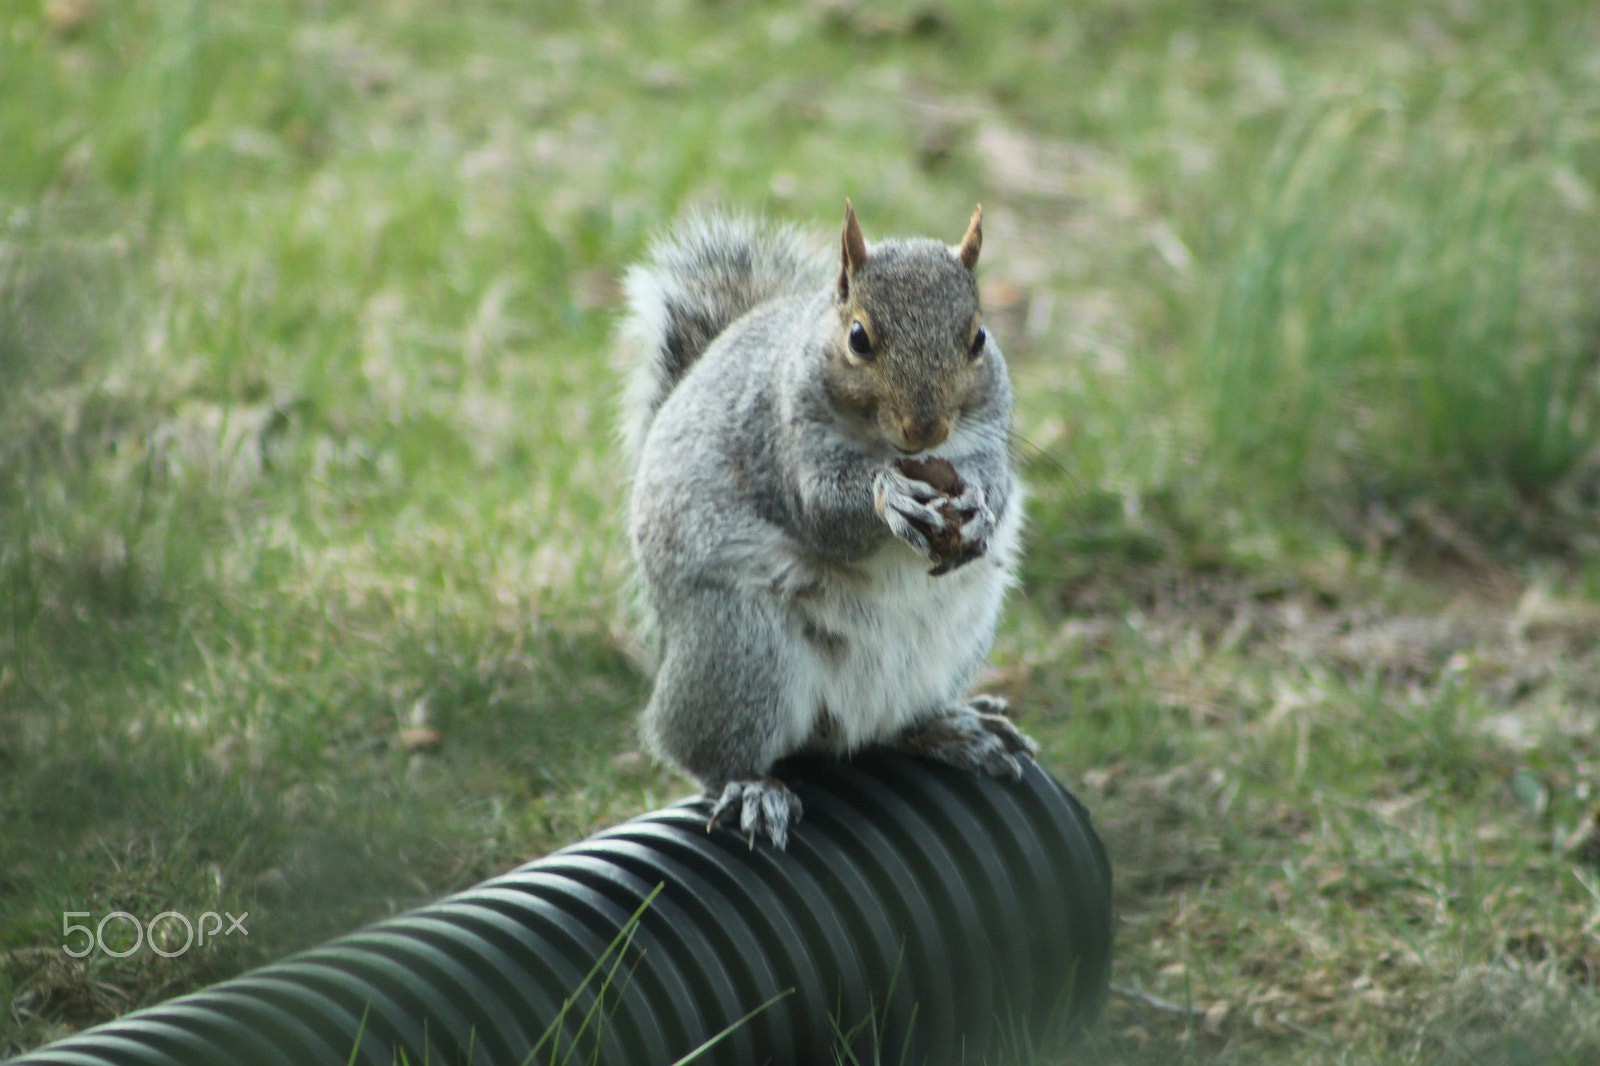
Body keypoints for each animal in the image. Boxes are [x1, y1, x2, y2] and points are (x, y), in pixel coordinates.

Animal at [618, 202, 1036, 848]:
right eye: (859, 338)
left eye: (979, 338)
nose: (927, 428)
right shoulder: (781, 439)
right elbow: (823, 515)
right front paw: (890, 497)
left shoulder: (990, 431)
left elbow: (994, 478)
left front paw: (980, 507)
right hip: (740, 650)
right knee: (701, 750)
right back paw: (751, 787)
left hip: (956, 640)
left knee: (895, 726)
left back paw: (955, 730)